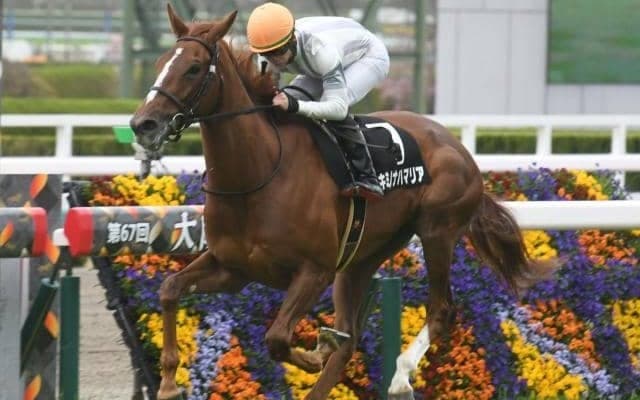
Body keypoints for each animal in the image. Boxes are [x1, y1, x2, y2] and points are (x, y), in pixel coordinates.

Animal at [130, 5, 551, 400]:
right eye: (159, 63)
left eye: (193, 68)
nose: (143, 124)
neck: (257, 176)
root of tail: (458, 148)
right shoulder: (233, 268)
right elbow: (169, 289)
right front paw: (168, 382)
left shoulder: (314, 271)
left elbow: (278, 338)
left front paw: (315, 350)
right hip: (360, 260)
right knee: (352, 338)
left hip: (437, 231)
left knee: (441, 309)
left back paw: (400, 377)